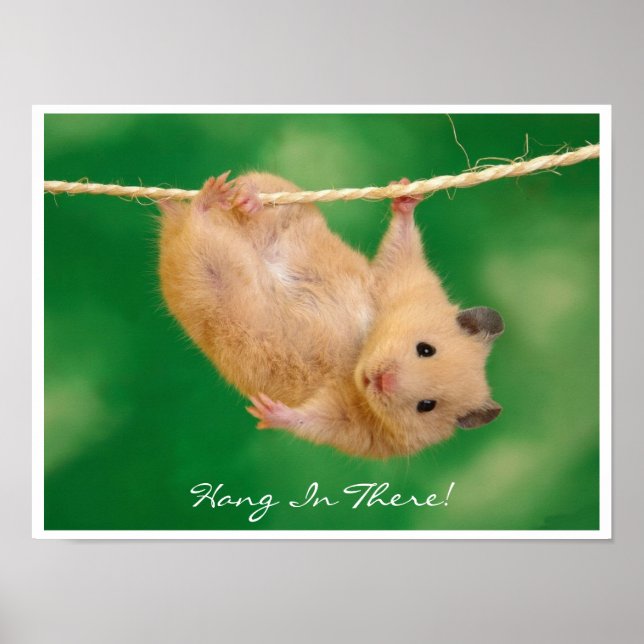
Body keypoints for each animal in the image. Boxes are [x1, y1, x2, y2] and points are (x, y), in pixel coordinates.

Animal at [158, 172, 504, 458]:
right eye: (426, 349)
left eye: (426, 406)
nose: (381, 380)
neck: (360, 354)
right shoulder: (401, 280)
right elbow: (401, 245)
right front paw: (406, 192)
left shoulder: (354, 428)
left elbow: (311, 421)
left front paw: (265, 410)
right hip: (287, 205)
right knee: (258, 191)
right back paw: (237, 196)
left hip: (204, 274)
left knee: (196, 227)